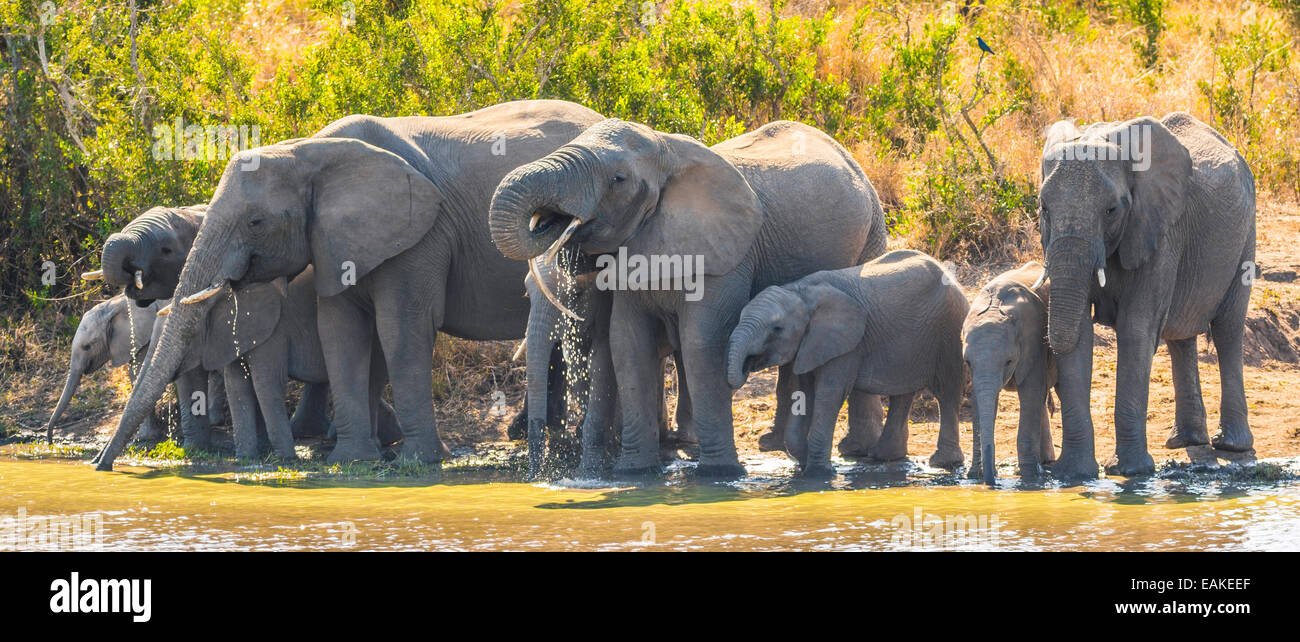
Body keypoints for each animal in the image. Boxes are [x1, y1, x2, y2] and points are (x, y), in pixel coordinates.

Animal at [94, 101, 603, 470]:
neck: (310, 152)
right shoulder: (335, 240)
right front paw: (354, 460)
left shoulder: (421, 232)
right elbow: (340, 330)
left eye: (256, 222)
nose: (102, 466)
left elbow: (402, 328)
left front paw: (414, 462)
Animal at [488, 117, 883, 475]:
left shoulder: (725, 259)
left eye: (619, 179)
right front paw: (635, 472)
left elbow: (702, 343)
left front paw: (720, 474)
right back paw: (776, 443)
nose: (550, 221)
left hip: (872, 229)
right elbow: (628, 342)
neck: (667, 150)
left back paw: (856, 451)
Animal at [728, 250, 972, 475]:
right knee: (903, 393)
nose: (748, 363)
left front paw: (820, 473)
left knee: (947, 391)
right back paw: (883, 456)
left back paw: (941, 463)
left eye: (777, 329)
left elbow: (829, 394)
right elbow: (804, 393)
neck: (800, 291)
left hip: (949, 329)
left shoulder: (847, 345)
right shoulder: (809, 344)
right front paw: (805, 464)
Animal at [967, 259, 1055, 480]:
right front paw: (973, 475)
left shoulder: (1034, 341)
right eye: (968, 363)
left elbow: (1031, 392)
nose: (993, 480)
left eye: (1008, 361)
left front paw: (1029, 476)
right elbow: (978, 399)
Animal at [1034, 113, 1258, 478]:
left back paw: (1231, 445)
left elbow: (1136, 329)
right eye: (1044, 209)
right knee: (1180, 335)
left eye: (1111, 210)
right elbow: (1078, 332)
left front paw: (1129, 472)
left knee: (1227, 328)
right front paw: (1074, 474)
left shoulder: (1160, 229)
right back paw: (1185, 441)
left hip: (1245, 234)